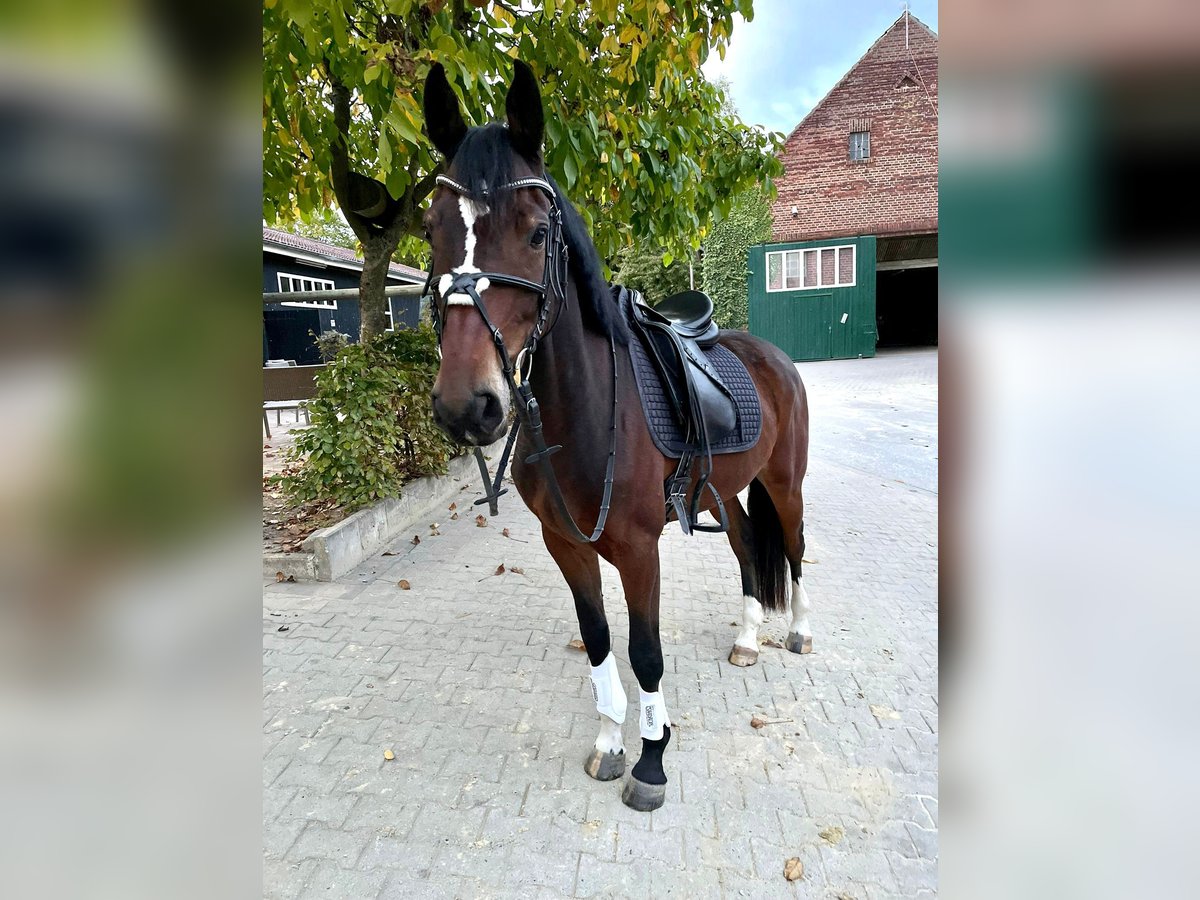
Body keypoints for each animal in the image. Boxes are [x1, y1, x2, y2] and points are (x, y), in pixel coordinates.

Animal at [422, 61, 816, 811]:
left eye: (536, 233)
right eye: (430, 231)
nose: (467, 405)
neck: (585, 411)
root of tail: (773, 356)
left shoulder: (640, 550)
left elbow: (645, 653)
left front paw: (652, 760)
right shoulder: (567, 547)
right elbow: (601, 641)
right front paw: (610, 741)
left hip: (784, 483)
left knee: (796, 550)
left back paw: (800, 631)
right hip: (729, 491)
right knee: (749, 551)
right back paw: (750, 637)